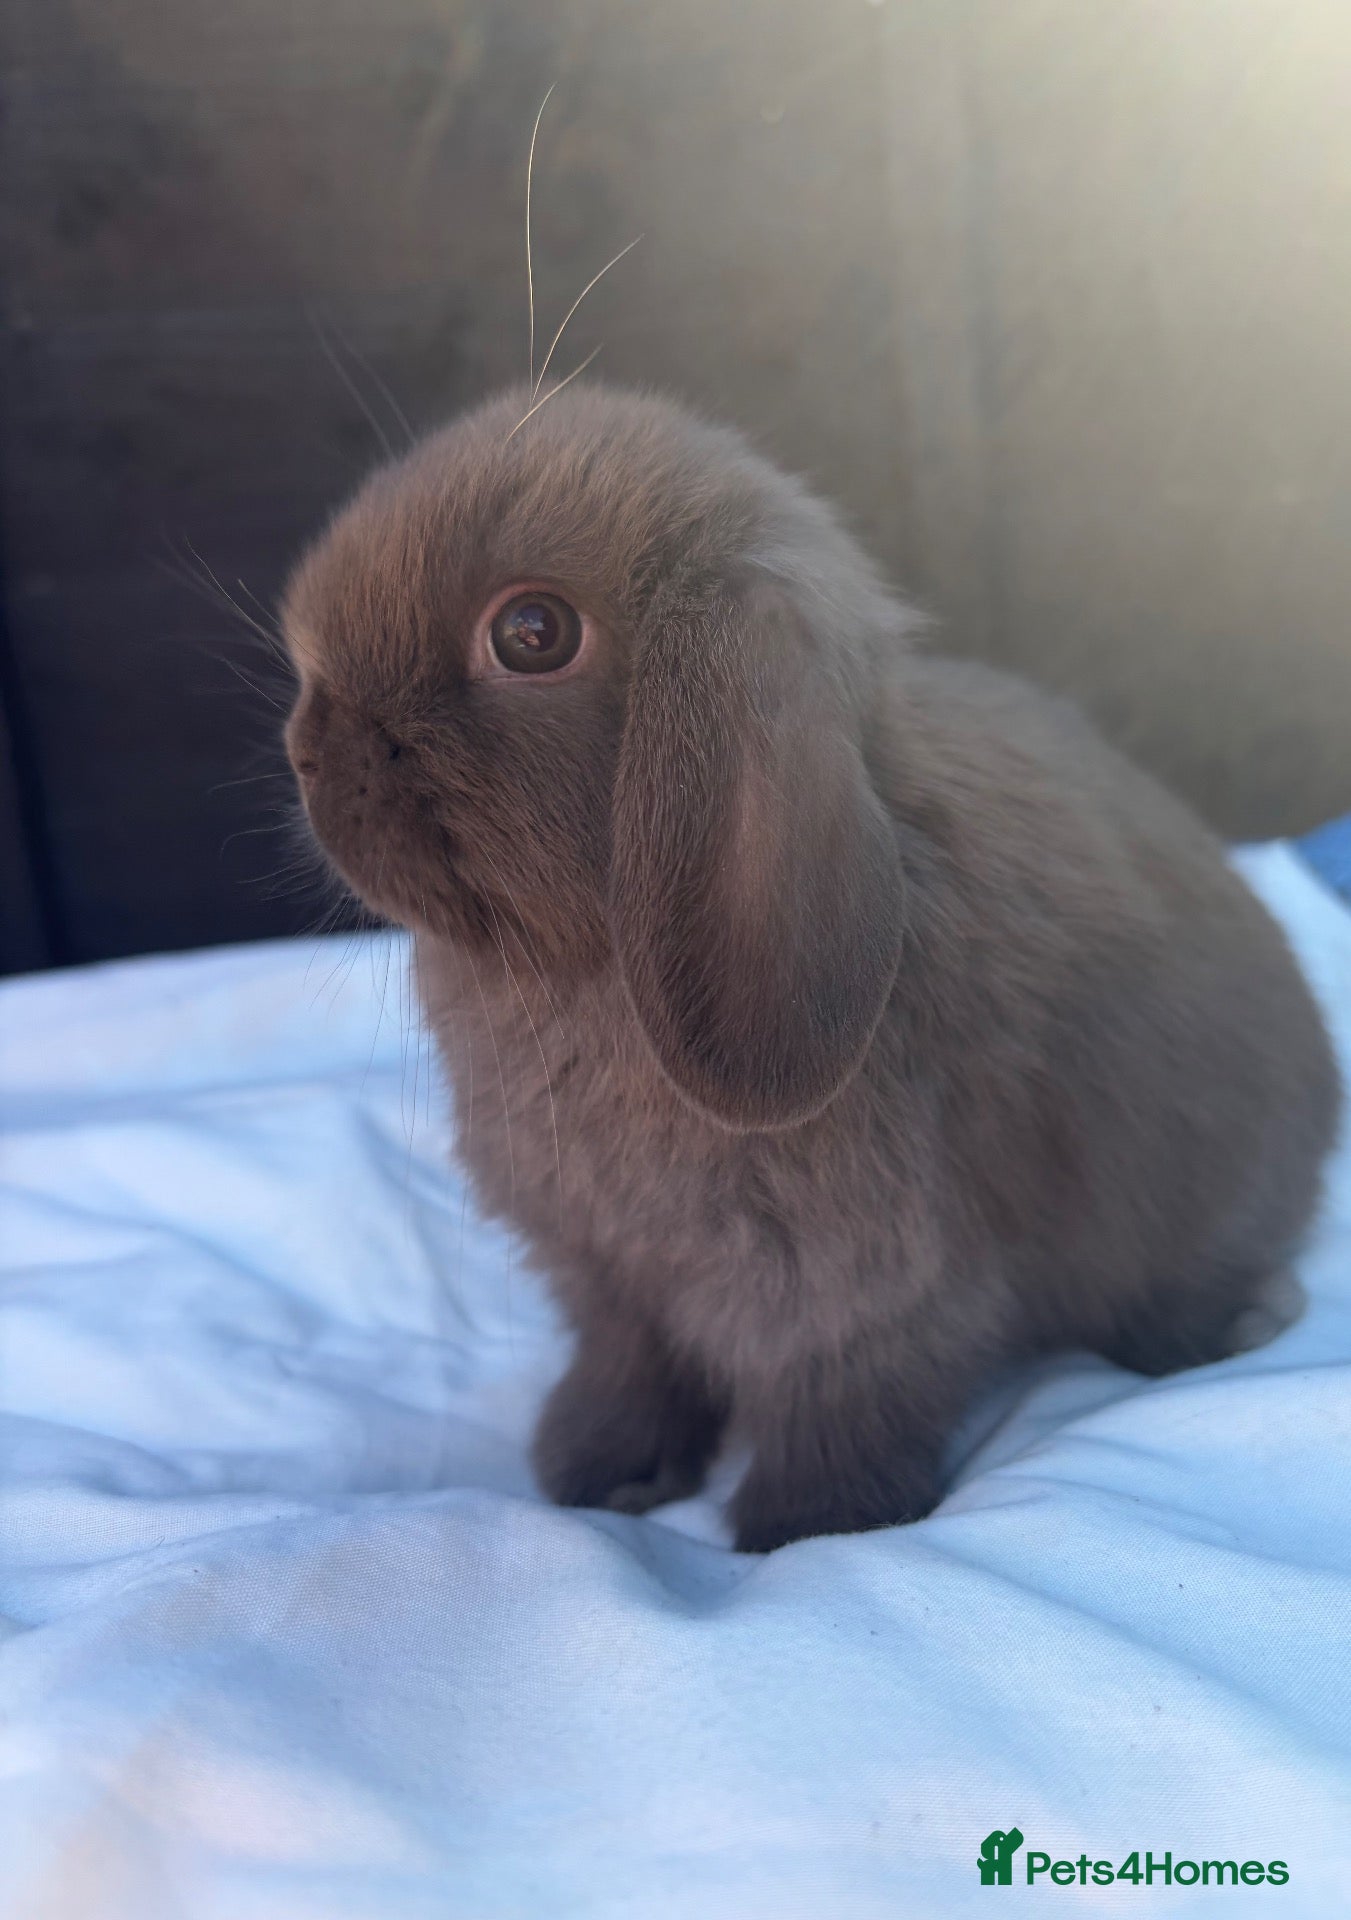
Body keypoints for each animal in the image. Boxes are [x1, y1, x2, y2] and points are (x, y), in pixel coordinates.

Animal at [282, 381, 1341, 1552]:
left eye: (532, 633)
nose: (307, 743)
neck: (587, 977)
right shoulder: (611, 1278)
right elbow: (629, 1367)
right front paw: (601, 1475)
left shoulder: (857, 1287)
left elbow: (839, 1399)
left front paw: (808, 1530)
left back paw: (1240, 1322)